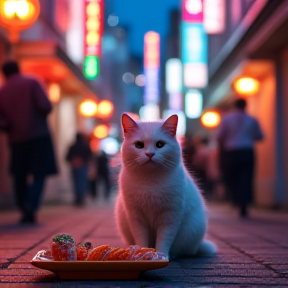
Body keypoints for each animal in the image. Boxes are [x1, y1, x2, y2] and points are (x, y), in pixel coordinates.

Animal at [115, 113, 216, 258]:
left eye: (160, 144)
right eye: (139, 145)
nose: (150, 154)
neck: (150, 182)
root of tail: (197, 247)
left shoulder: (170, 217)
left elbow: (164, 240)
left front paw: (162, 255)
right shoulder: (136, 217)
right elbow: (141, 238)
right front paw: (141, 253)